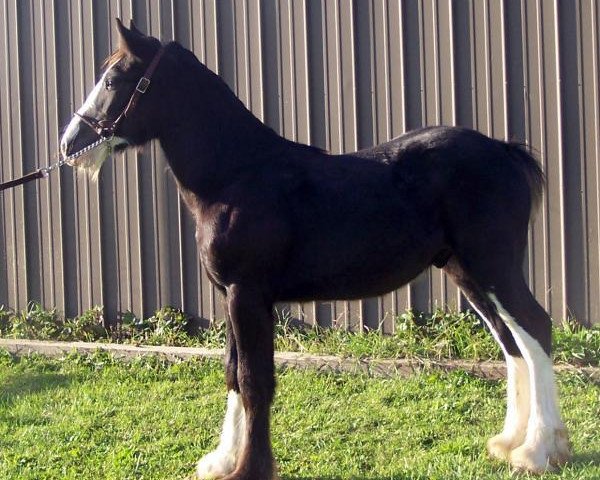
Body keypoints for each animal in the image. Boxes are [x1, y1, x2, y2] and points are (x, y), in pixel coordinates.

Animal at [61, 20, 572, 478]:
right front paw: (222, 460)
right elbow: (233, 373)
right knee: (511, 340)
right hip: (467, 272)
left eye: (112, 79)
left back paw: (538, 451)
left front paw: (249, 469)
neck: (237, 175)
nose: (70, 144)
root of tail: (504, 150)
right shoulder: (232, 297)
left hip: (494, 266)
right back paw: (510, 442)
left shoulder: (248, 296)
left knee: (534, 327)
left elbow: (255, 381)